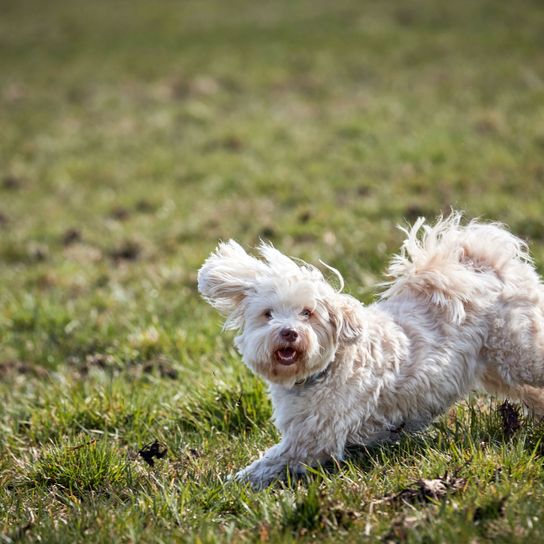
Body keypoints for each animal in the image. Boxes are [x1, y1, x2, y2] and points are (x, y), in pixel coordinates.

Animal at [198, 214, 544, 488]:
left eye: (307, 313)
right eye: (268, 314)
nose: (289, 332)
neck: (324, 370)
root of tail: (486, 263)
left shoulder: (311, 440)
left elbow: (266, 465)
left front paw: (227, 484)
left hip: (521, 353)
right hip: (499, 369)